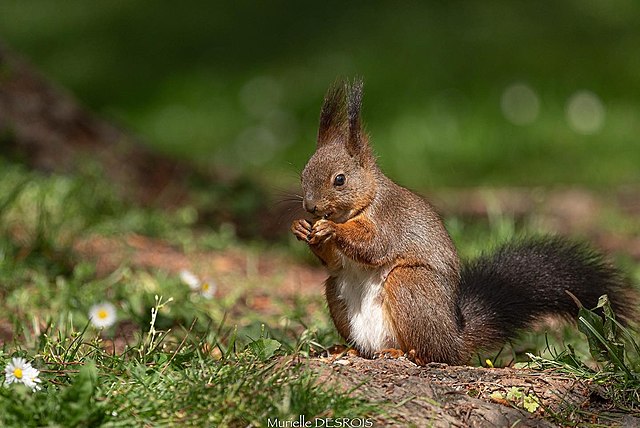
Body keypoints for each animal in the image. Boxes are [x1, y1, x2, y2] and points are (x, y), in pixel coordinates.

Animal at [292, 80, 636, 364]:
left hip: (410, 284)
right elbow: (335, 263)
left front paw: (331, 230)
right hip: (335, 291)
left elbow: (374, 246)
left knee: (431, 353)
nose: (310, 207)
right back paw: (347, 349)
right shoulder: (339, 260)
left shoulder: (389, 220)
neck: (365, 201)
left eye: (340, 179)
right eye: (303, 173)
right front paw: (303, 229)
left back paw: (403, 353)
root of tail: (454, 340)